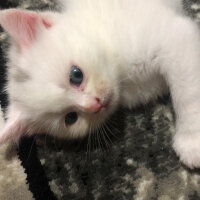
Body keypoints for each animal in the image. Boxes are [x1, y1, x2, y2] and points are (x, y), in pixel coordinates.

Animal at [0, 0, 200, 168]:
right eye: (70, 118)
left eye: (76, 75)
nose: (95, 104)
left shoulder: (174, 39)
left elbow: (188, 92)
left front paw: (192, 142)